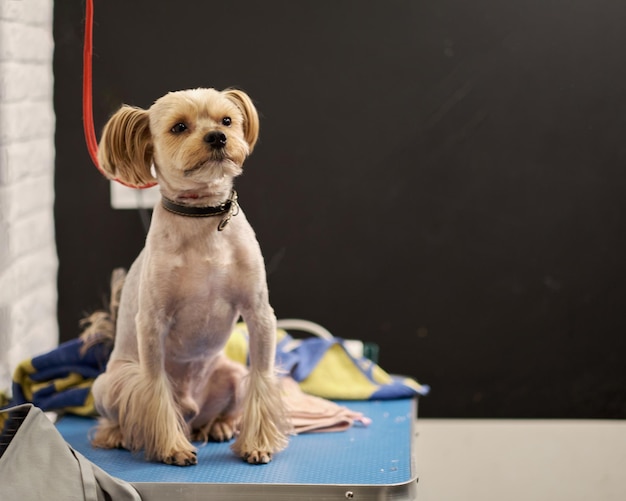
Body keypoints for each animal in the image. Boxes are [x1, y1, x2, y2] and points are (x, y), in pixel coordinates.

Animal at [89, 87, 288, 464]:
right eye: (179, 127)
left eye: (227, 120)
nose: (217, 137)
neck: (202, 216)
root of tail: (193, 410)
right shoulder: (152, 323)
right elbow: (155, 391)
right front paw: (172, 448)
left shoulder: (259, 314)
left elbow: (262, 378)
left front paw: (257, 444)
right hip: (111, 381)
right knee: (128, 410)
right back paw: (115, 434)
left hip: (230, 374)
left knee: (216, 411)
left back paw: (218, 426)